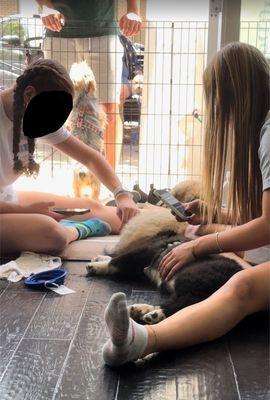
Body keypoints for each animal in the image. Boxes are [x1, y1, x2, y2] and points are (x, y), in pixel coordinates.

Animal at [86, 209, 243, 324]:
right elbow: (115, 260)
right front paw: (99, 258)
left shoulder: (143, 253)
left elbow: (115, 261)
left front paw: (95, 266)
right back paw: (142, 310)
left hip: (193, 278)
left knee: (186, 302)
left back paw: (155, 314)